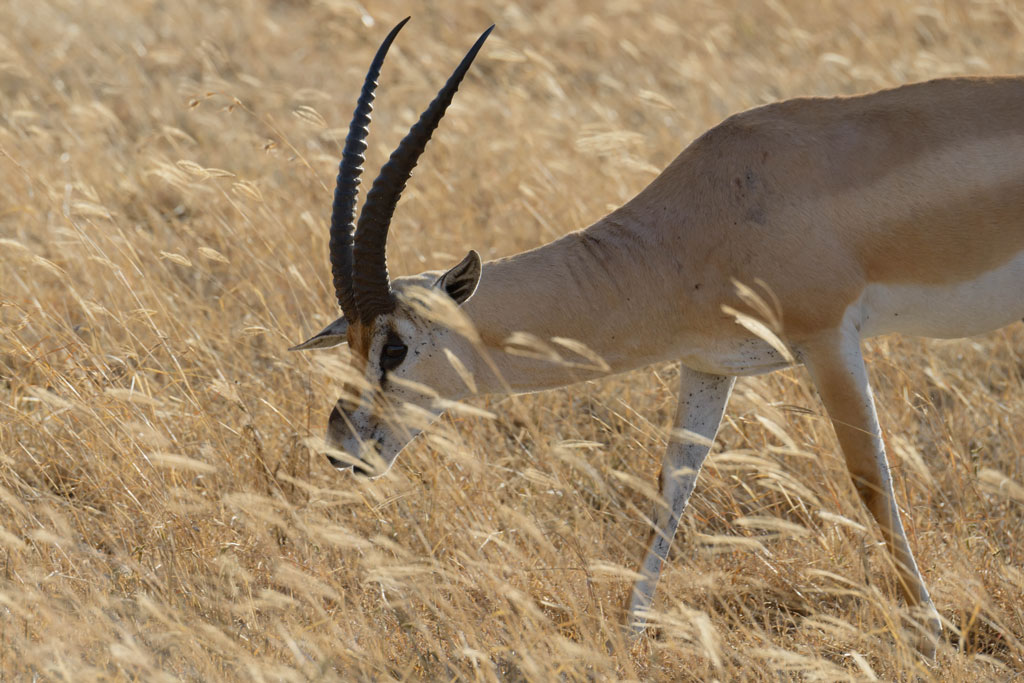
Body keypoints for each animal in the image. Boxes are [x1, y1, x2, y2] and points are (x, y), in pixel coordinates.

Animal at [290, 18, 1024, 656]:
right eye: (352, 344)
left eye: (394, 347)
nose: (341, 446)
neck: (703, 217)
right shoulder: (707, 367)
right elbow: (669, 490)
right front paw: (630, 635)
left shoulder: (828, 339)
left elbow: (871, 479)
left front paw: (931, 634)